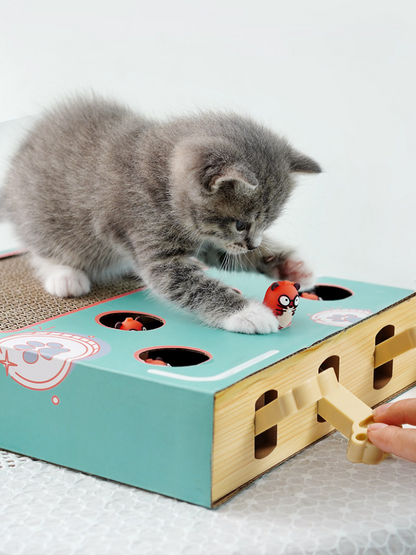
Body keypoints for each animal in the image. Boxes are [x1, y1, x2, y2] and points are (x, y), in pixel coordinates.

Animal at [0, 96, 322, 334]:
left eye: (266, 223)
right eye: (241, 224)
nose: (253, 243)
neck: (164, 184)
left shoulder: (205, 239)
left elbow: (226, 255)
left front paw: (292, 267)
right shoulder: (150, 237)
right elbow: (189, 284)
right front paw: (248, 313)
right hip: (41, 215)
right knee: (43, 246)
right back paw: (64, 275)